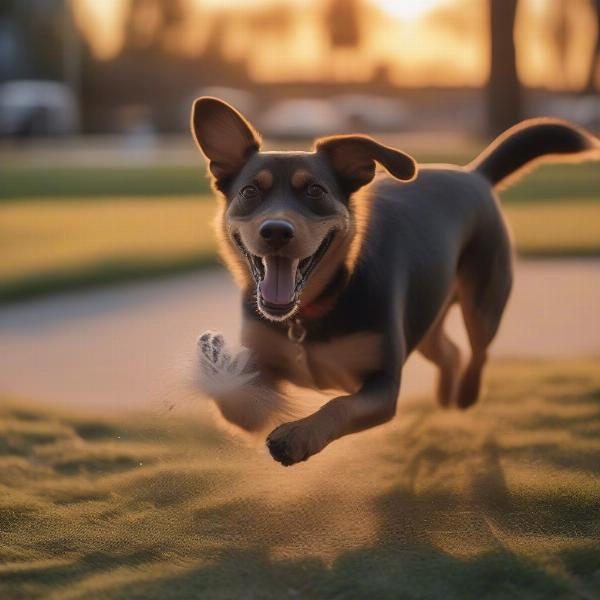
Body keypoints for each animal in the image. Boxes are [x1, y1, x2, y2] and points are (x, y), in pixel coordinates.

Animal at [191, 97, 596, 468]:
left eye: (316, 191)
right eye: (249, 191)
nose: (276, 231)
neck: (308, 313)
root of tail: (474, 173)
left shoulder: (384, 385)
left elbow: (339, 404)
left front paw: (298, 434)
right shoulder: (264, 358)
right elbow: (233, 398)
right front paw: (250, 407)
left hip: (484, 302)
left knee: (478, 351)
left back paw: (465, 395)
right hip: (426, 318)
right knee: (450, 352)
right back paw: (445, 396)